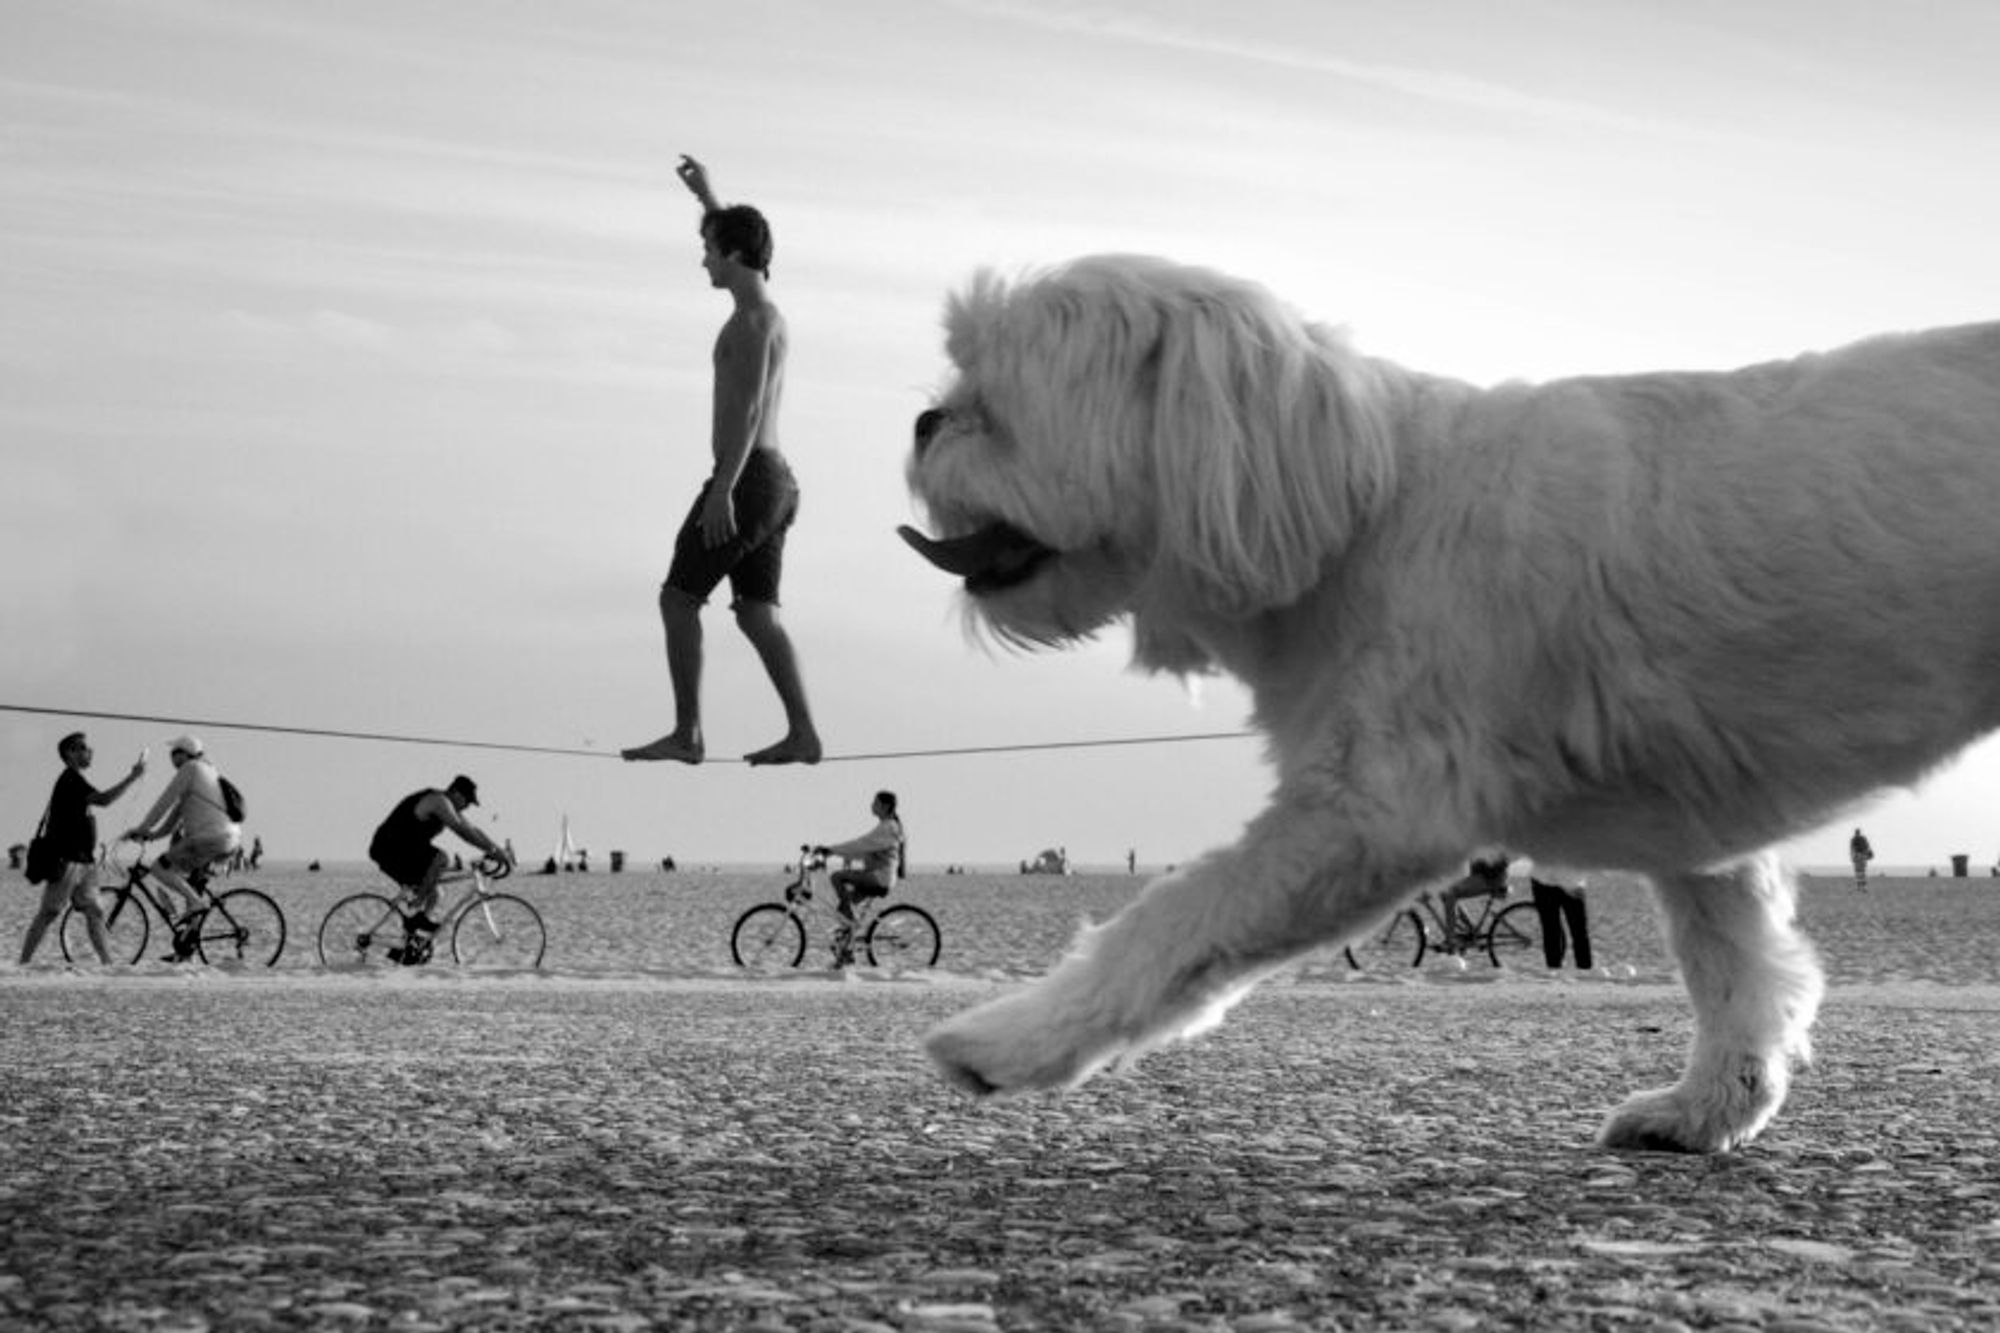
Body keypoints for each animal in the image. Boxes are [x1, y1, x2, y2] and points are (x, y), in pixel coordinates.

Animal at [904, 254, 2000, 1144]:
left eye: (996, 400)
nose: (922, 420)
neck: (1366, 506)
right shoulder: (1701, 822)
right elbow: (1738, 968)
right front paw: (1708, 1106)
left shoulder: (1367, 811)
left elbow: (1170, 919)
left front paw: (1008, 1040)